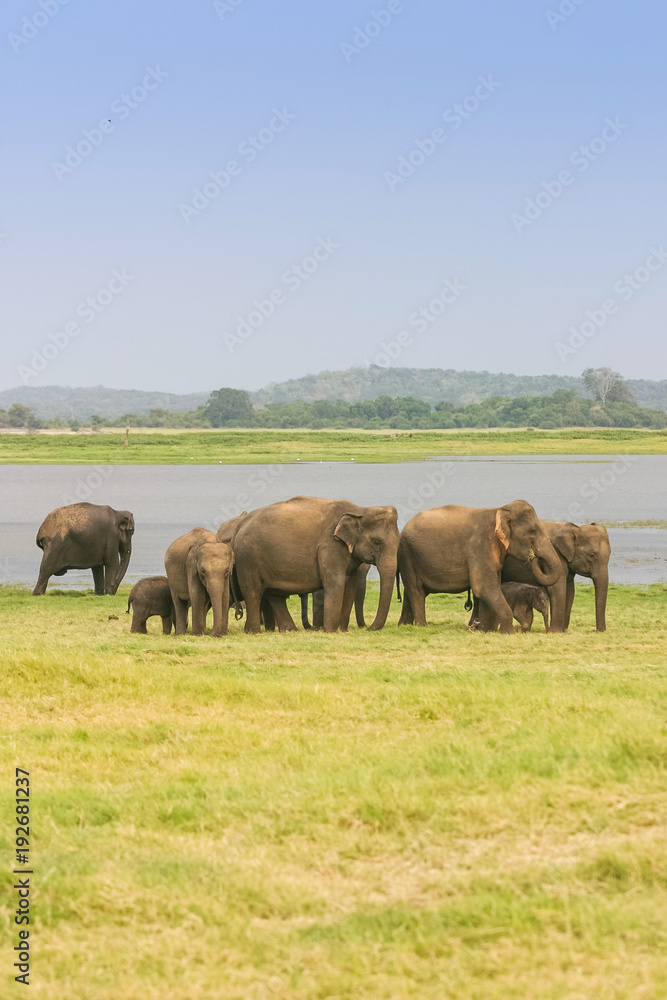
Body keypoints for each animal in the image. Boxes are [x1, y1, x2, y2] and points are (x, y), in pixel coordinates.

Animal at [232, 494, 400, 628]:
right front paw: (330, 631)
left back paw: (288, 631)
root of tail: (240, 525)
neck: (360, 510)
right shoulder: (330, 546)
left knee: (275, 595)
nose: (368, 628)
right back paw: (253, 632)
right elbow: (335, 584)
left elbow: (350, 586)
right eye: (377, 542)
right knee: (253, 593)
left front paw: (342, 630)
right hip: (248, 559)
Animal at [400, 500, 560, 632]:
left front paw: (483, 631)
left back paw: (404, 625)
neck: (499, 510)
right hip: (408, 554)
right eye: (533, 531)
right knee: (416, 591)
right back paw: (421, 627)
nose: (534, 557)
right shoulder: (479, 546)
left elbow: (490, 587)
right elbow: (484, 586)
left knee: (410, 593)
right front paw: (507, 632)